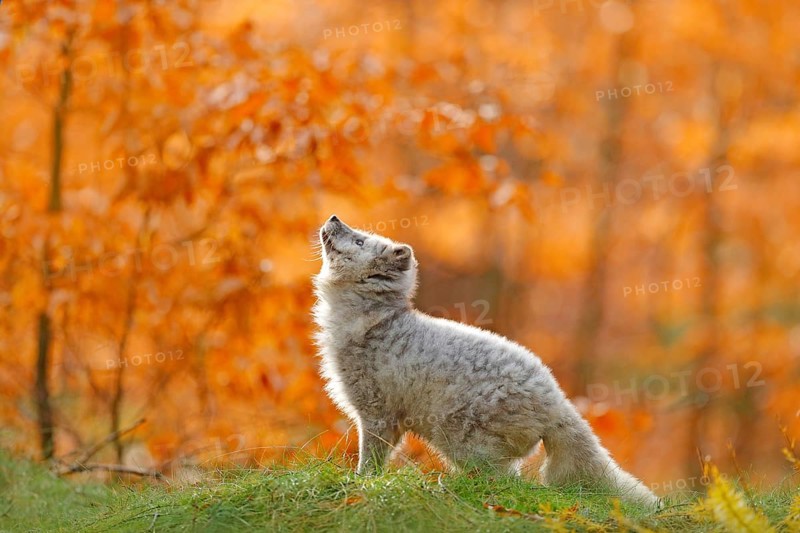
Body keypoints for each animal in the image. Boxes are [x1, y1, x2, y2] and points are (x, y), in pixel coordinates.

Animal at [312, 215, 659, 506]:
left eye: (360, 241)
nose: (333, 217)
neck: (373, 321)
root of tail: (559, 402)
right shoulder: (389, 420)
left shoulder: (376, 414)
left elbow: (369, 461)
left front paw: (359, 485)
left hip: (462, 441)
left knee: (504, 483)